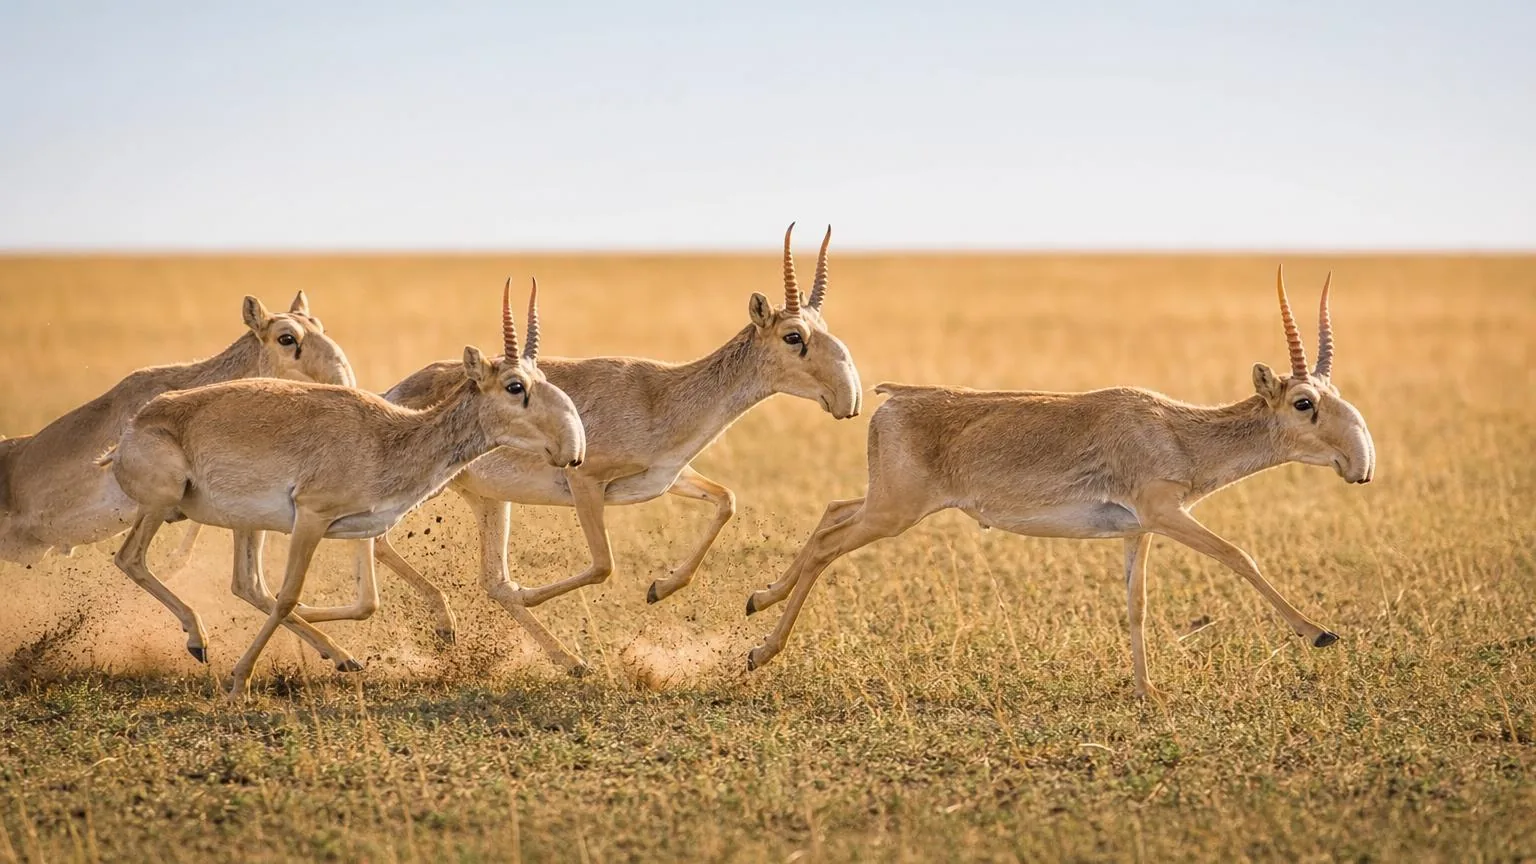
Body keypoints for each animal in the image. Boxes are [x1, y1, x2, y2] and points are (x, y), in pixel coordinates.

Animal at [99, 282, 586, 697]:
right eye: (514, 386)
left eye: (542, 377)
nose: (574, 448)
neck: (387, 437)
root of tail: (134, 427)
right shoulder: (311, 518)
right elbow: (288, 598)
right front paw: (239, 682)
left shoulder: (360, 529)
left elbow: (349, 600)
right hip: (163, 504)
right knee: (130, 558)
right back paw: (199, 641)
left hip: (242, 524)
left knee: (244, 584)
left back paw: (337, 656)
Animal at [352, 223, 862, 671]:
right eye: (793, 336)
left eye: (823, 326)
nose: (850, 399)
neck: (662, 395)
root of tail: (395, 392)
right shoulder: (585, 482)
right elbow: (603, 565)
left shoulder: (665, 479)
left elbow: (727, 501)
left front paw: (664, 588)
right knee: (381, 540)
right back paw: (445, 628)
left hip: (487, 499)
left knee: (489, 578)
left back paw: (562, 659)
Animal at [744, 269, 1375, 697]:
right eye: (1304, 402)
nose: (1360, 464)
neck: (1178, 432)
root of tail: (892, 397)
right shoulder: (1167, 513)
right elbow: (1239, 555)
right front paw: (1319, 633)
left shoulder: (1139, 530)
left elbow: (1137, 603)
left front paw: (1146, 691)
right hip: (894, 513)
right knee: (829, 544)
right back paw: (759, 651)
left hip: (888, 503)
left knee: (831, 510)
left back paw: (758, 600)